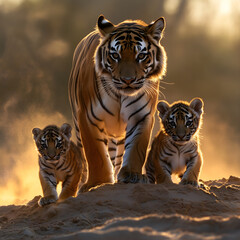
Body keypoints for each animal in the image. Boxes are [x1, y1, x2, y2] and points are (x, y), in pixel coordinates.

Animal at [68, 15, 166, 191]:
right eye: (115, 55)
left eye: (141, 56)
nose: (127, 80)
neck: (121, 95)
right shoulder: (87, 116)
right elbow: (96, 154)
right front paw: (97, 182)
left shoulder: (141, 116)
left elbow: (136, 147)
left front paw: (132, 175)